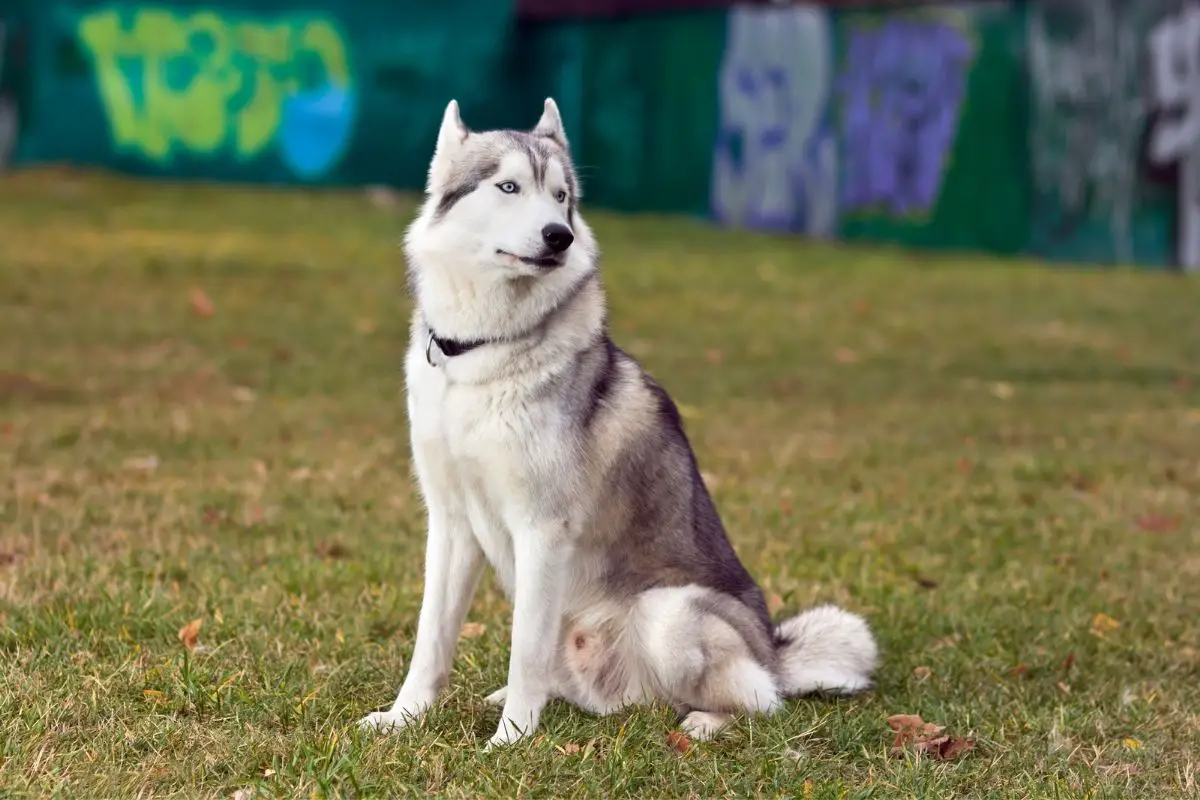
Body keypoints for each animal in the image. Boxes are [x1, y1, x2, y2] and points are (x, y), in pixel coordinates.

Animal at [350, 97, 878, 748]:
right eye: (508, 186)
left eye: (561, 196)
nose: (560, 236)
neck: (477, 355)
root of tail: (775, 653)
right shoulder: (450, 525)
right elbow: (432, 640)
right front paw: (403, 718)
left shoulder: (541, 530)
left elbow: (524, 651)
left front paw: (510, 741)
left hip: (670, 614)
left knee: (760, 701)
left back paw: (704, 722)